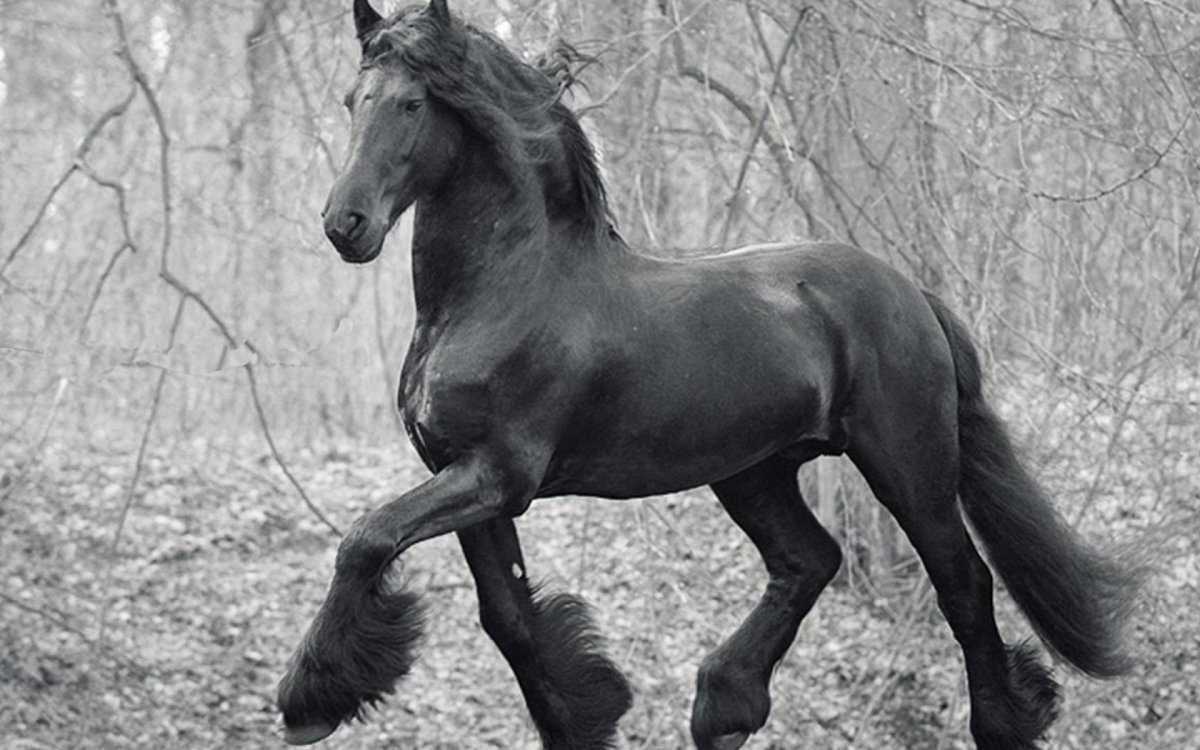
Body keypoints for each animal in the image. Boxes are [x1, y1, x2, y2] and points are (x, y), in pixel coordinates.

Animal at [277, 2, 1139, 748]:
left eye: (412, 103)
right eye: (353, 99)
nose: (345, 224)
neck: (506, 291)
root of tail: (909, 293)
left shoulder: (498, 474)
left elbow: (366, 539)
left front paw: (308, 704)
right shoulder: (463, 474)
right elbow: (508, 618)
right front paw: (587, 716)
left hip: (909, 465)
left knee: (962, 582)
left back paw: (1001, 724)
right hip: (754, 470)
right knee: (809, 561)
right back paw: (724, 708)